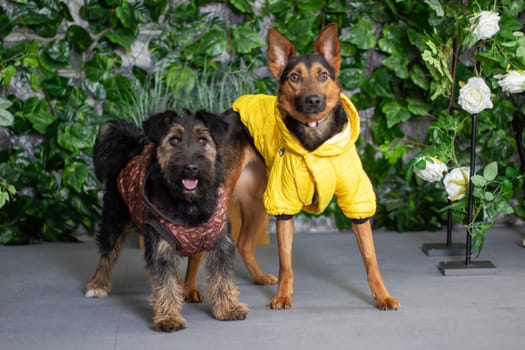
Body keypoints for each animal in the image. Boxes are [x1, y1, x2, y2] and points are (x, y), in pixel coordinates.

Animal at [85, 110, 249, 332]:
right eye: (174, 140)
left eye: (203, 140)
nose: (191, 168)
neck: (189, 203)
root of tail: (132, 147)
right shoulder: (161, 244)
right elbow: (164, 284)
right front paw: (168, 317)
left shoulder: (220, 242)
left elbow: (222, 278)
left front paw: (227, 308)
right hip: (114, 219)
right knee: (106, 254)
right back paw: (97, 284)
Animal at [215, 23, 400, 310]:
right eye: (295, 77)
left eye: (323, 75)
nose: (313, 100)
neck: (315, 138)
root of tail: (227, 114)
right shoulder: (283, 204)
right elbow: (286, 263)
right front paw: (283, 296)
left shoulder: (356, 200)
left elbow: (371, 260)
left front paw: (382, 296)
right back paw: (190, 293)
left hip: (257, 199)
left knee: (244, 243)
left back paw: (258, 277)